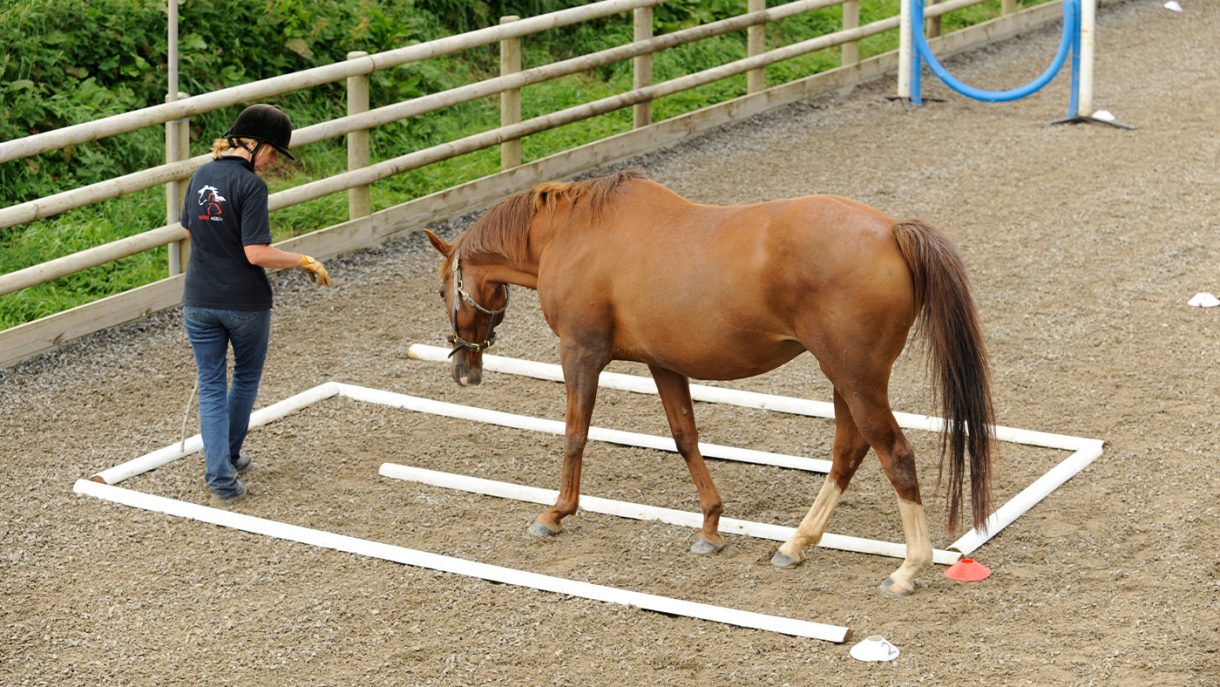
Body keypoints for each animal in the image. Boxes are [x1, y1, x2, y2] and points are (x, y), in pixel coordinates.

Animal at [423, 169, 993, 595]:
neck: (575, 234)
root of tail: (892, 231)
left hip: (857, 380)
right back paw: (795, 544)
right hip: (847, 380)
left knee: (894, 454)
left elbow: (575, 436)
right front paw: (711, 526)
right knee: (848, 452)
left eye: (443, 288)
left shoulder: (581, 355)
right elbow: (686, 438)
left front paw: (555, 513)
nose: (463, 370)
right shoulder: (664, 364)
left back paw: (907, 569)